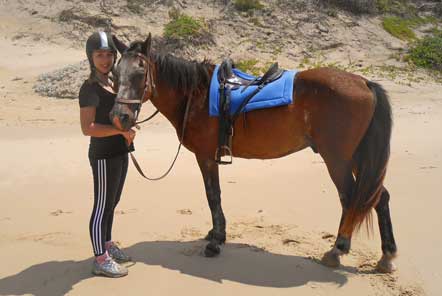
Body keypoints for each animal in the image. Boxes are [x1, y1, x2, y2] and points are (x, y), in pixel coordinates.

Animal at [109, 35, 396, 274]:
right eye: (115, 74)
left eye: (140, 72)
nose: (120, 117)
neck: (195, 95)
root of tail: (364, 82)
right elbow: (214, 196)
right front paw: (215, 234)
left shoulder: (205, 156)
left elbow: (213, 196)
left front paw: (215, 242)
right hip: (358, 158)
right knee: (378, 197)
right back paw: (386, 257)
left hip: (338, 160)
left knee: (350, 199)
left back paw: (337, 250)